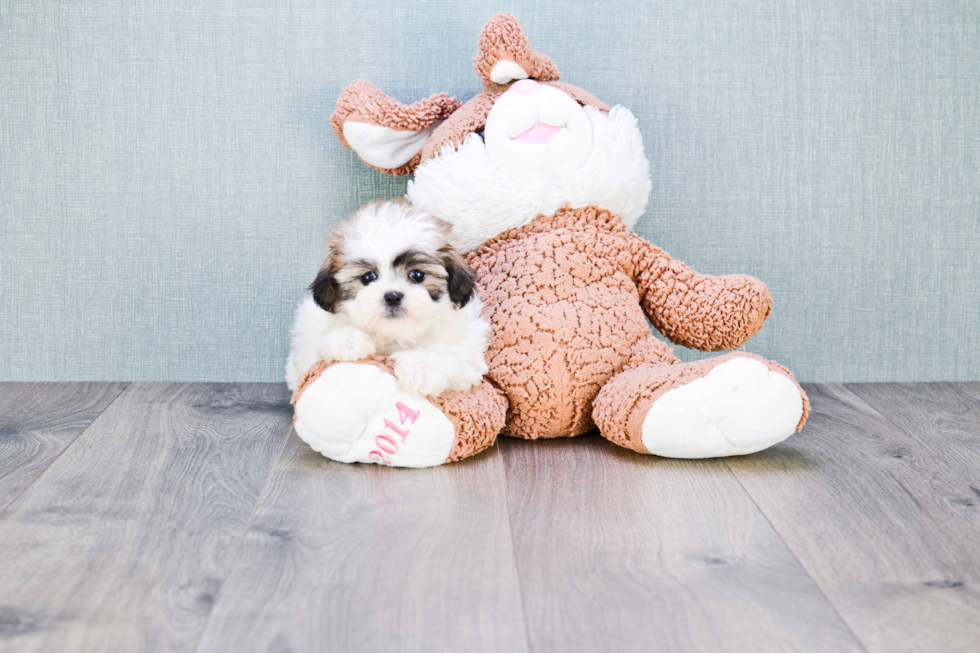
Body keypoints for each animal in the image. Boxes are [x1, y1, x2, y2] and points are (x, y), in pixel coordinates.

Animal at [288, 199, 494, 398]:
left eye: (417, 275)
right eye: (368, 277)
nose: (393, 296)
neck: (393, 334)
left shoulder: (468, 350)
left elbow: (454, 355)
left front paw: (421, 367)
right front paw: (348, 340)